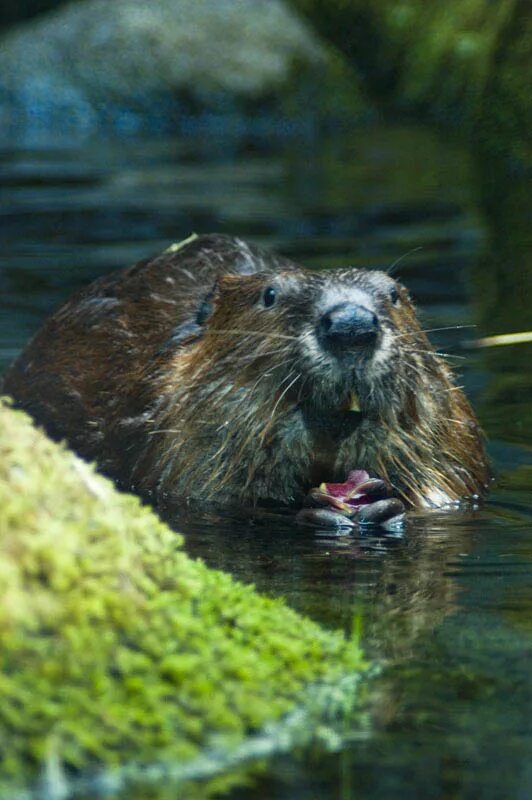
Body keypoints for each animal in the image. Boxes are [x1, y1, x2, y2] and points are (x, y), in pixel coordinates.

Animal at [2, 234, 490, 528]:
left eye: (393, 294)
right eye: (270, 295)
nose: (351, 325)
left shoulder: (456, 433)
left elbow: (451, 486)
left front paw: (381, 499)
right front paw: (318, 507)